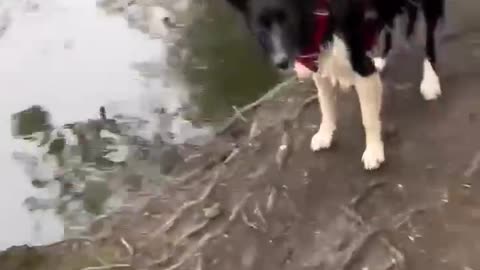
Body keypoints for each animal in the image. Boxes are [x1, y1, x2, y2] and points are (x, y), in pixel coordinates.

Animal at [223, 0, 444, 169]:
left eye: (288, 18)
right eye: (261, 26)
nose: (281, 61)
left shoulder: (360, 65)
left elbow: (368, 119)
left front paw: (373, 150)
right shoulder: (319, 66)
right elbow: (326, 107)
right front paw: (325, 135)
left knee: (428, 38)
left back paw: (430, 80)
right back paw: (381, 58)